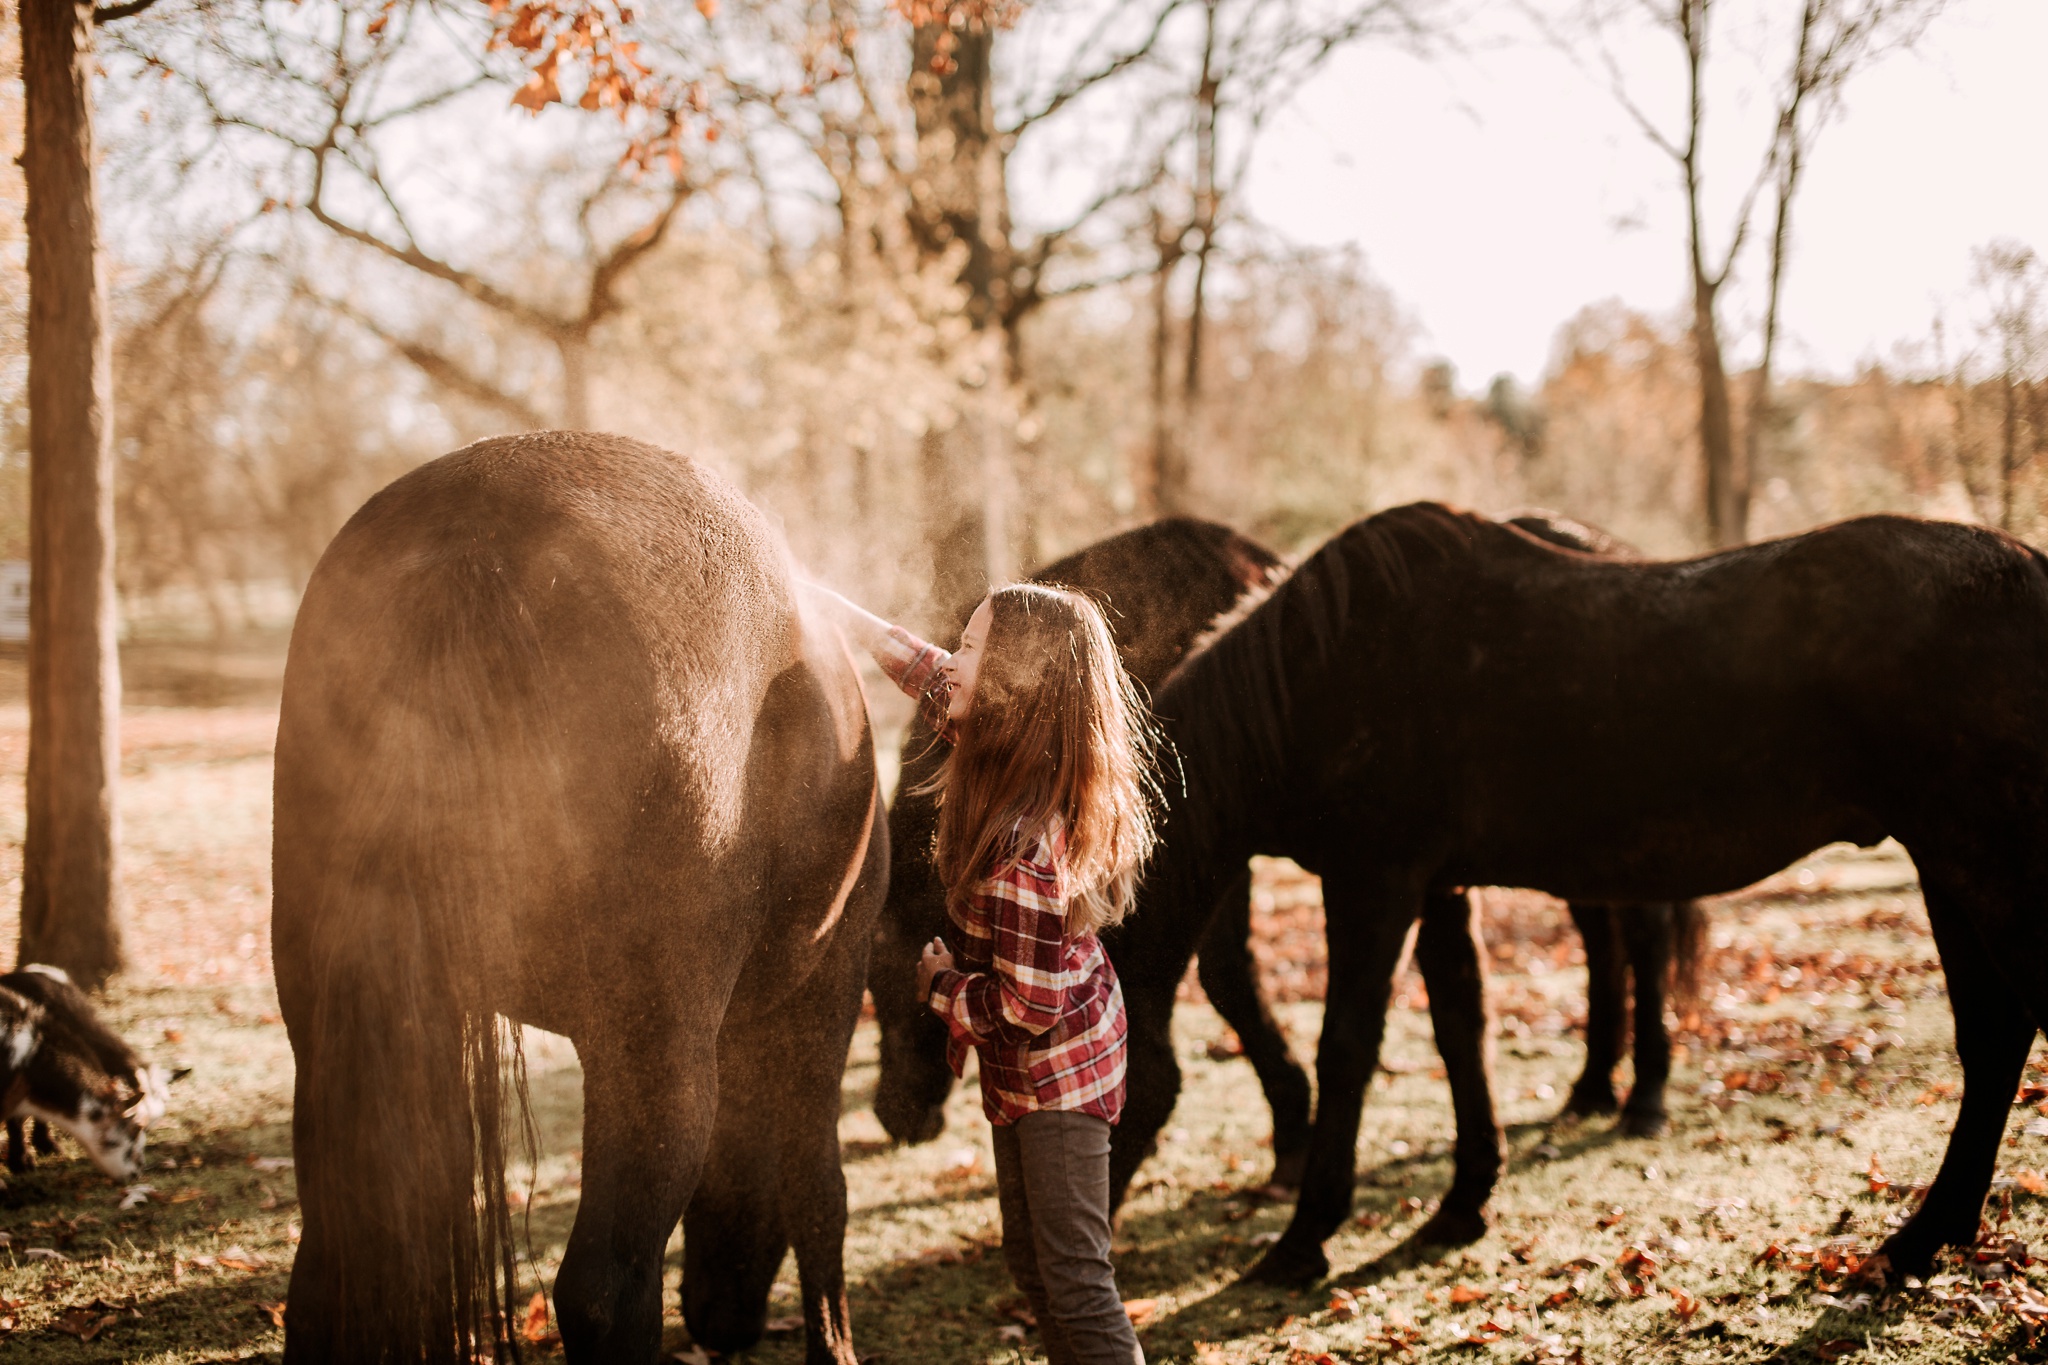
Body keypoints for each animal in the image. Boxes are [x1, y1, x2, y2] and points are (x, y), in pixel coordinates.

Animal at [272, 435, 888, 1365]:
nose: (720, 1318)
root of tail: (465, 545)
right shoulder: (826, 987)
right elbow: (820, 1189)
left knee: (327, 1272)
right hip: (654, 1051)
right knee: (601, 1289)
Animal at [1114, 501, 2048, 1285]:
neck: (1317, 673)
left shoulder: (1373, 883)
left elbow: (1346, 1049)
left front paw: (1303, 1238)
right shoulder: (1439, 885)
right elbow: (1461, 1029)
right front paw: (1462, 1202)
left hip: (1979, 863)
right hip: (1948, 870)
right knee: (1992, 1040)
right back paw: (1925, 1237)